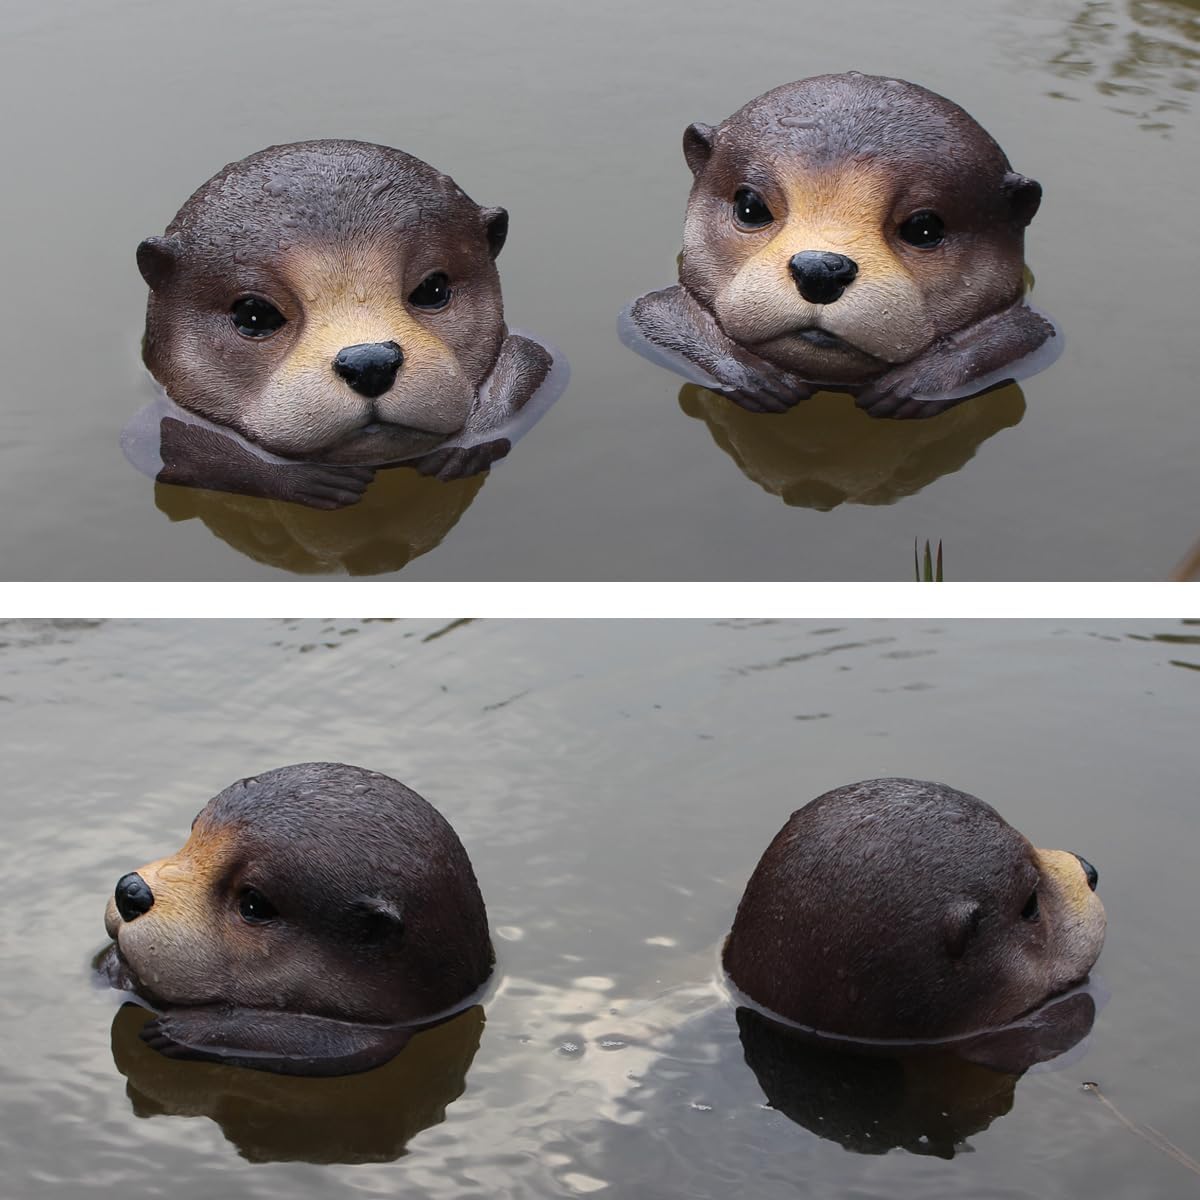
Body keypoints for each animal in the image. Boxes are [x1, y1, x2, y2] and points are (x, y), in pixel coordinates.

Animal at [97, 762, 493, 1075]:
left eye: (254, 904)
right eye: (193, 834)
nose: (131, 891)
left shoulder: (375, 1033)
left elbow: (322, 1047)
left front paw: (179, 1030)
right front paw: (112, 966)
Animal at [134, 140, 562, 505]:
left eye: (433, 289)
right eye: (253, 314)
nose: (370, 363)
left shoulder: (537, 357)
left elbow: (535, 360)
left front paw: (466, 443)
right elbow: (161, 444)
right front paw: (304, 477)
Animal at [625, 74, 1057, 418]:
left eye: (924, 228)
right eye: (750, 206)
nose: (820, 269)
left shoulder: (1035, 332)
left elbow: (1028, 334)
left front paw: (918, 382)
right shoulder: (648, 314)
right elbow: (651, 315)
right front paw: (752, 375)